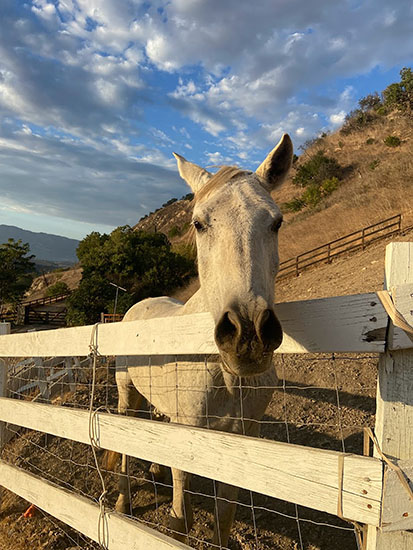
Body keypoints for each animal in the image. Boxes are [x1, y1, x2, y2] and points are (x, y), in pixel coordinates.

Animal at [112, 133, 292, 548]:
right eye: (198, 224)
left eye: (276, 222)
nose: (248, 334)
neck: (225, 377)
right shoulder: (188, 432)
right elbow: (182, 511)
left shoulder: (244, 435)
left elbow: (224, 515)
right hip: (127, 392)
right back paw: (123, 503)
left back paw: (154, 471)